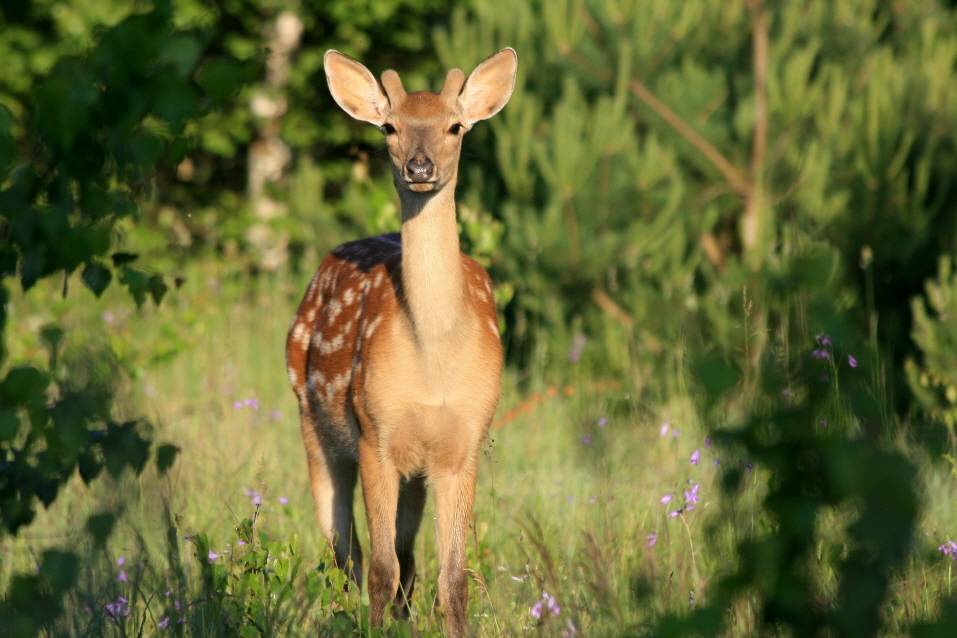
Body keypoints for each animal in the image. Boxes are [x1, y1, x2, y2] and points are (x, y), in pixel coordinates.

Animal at [286, 47, 516, 636]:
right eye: (389, 127)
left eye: (455, 126)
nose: (419, 168)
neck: (433, 362)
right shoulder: (375, 430)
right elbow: (380, 569)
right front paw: (375, 622)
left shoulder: (465, 443)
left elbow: (452, 579)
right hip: (313, 424)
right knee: (345, 552)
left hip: (413, 471)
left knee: (408, 559)